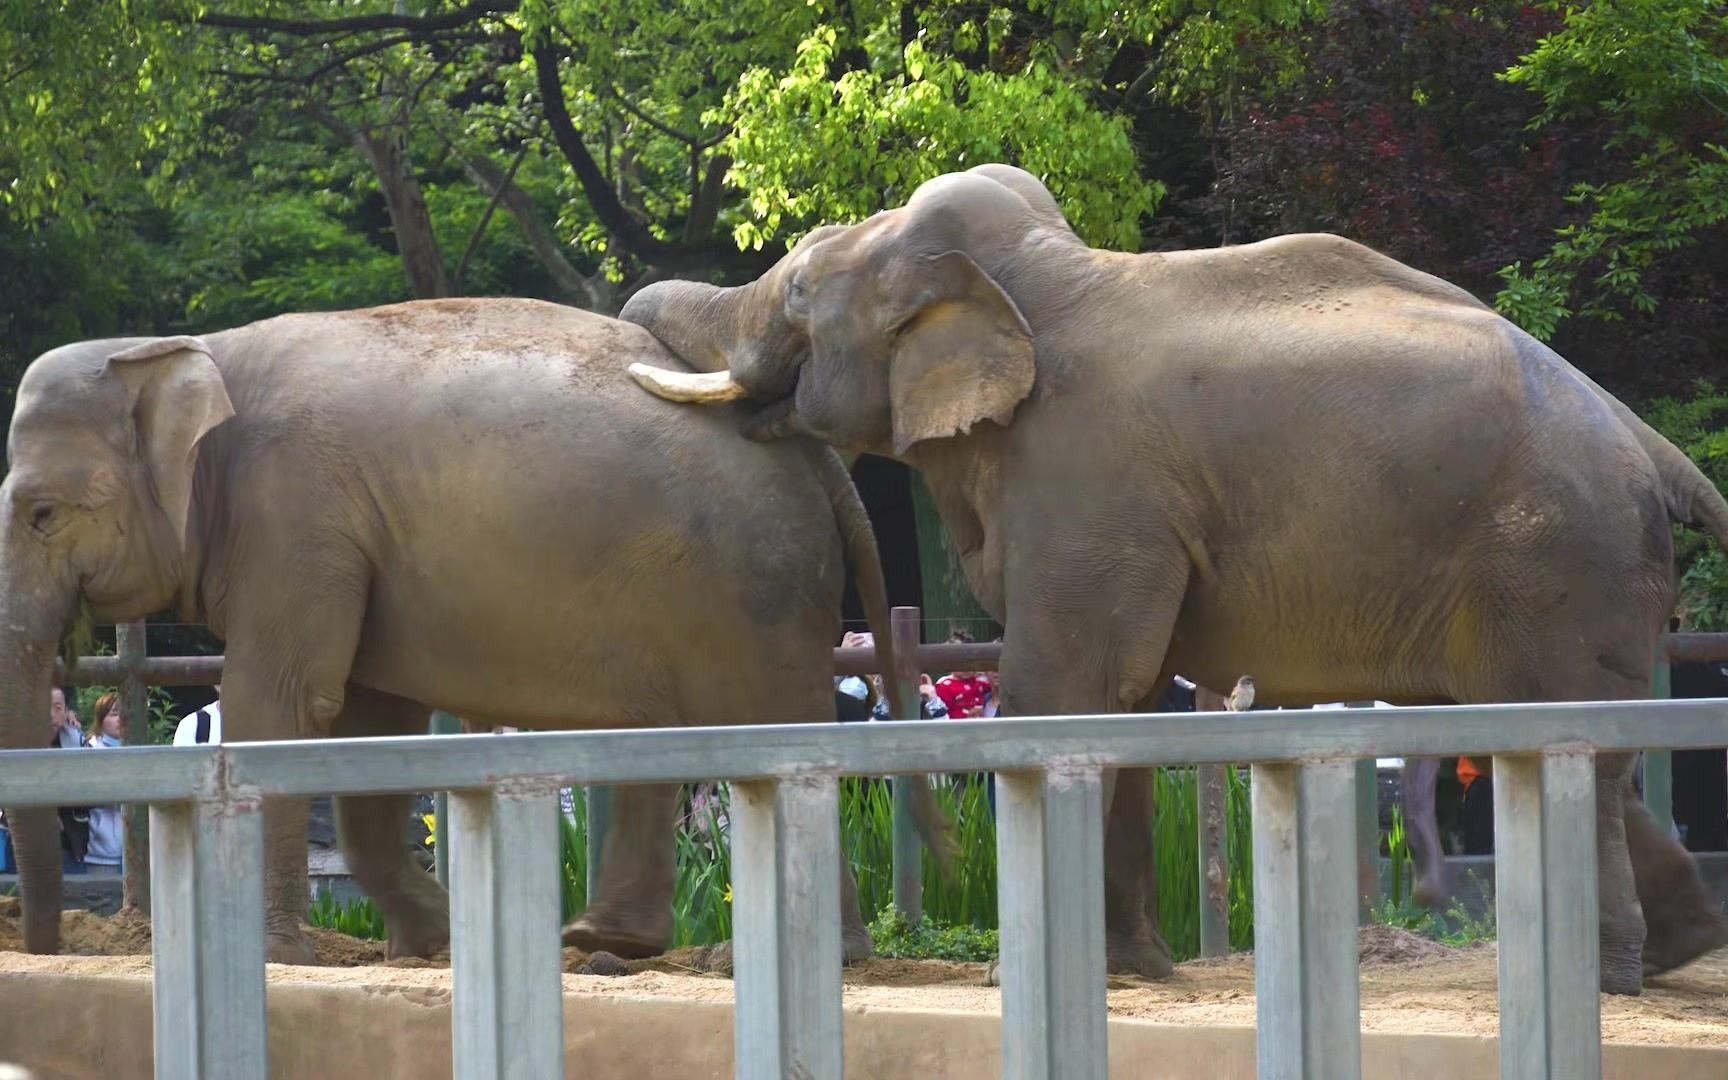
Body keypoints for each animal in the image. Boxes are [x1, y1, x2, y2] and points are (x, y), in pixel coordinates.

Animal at [0, 297, 953, 967]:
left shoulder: (294, 514)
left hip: (750, 589)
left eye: (41, 513)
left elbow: (286, 707)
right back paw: (604, 944)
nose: (45, 944)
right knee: (663, 737)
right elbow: (366, 727)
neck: (192, 349)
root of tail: (818, 460)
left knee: (763, 730)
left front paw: (281, 954)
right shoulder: (348, 542)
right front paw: (436, 943)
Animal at [622, 162, 1728, 995]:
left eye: (798, 291)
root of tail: (1647, 440)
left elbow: (1066, 689)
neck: (1036, 272)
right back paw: (1677, 952)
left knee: (1564, 739)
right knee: (1559, 739)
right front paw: (1129, 970)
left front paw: (1031, 976)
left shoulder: (1088, 476)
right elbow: (1127, 702)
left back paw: (1603, 976)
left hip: (1555, 554)